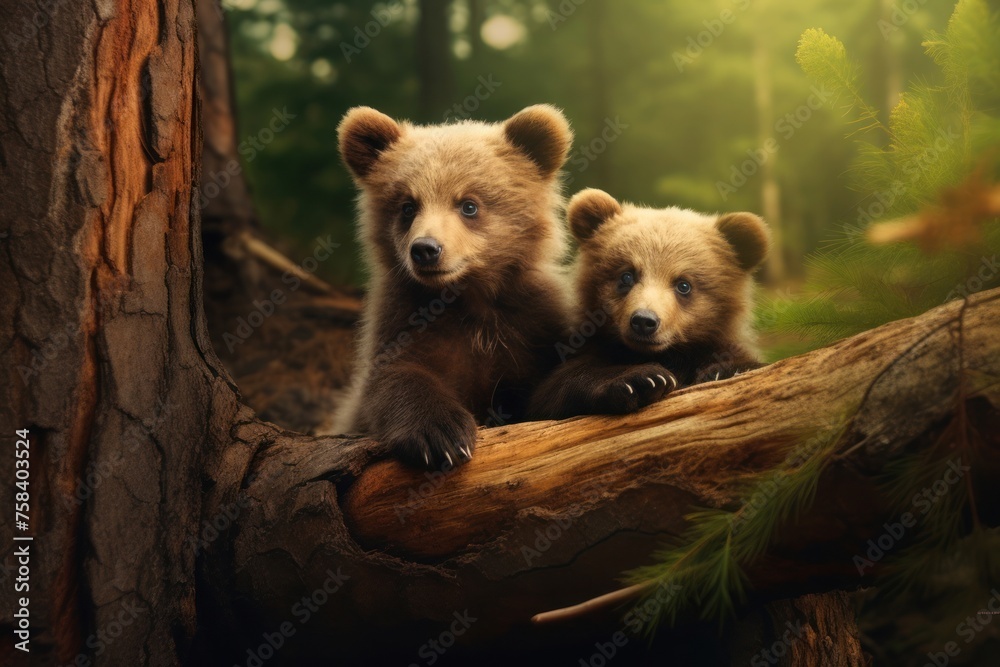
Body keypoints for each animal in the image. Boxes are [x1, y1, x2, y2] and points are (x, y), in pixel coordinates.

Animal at [328, 105, 574, 469]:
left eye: (468, 205)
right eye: (407, 206)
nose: (426, 249)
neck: (463, 296)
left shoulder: (530, 323)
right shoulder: (403, 318)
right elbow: (396, 378)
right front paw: (440, 435)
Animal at [528, 188, 770, 420]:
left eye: (683, 285)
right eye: (627, 275)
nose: (644, 321)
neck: (664, 354)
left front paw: (726, 371)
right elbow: (557, 388)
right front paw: (645, 380)